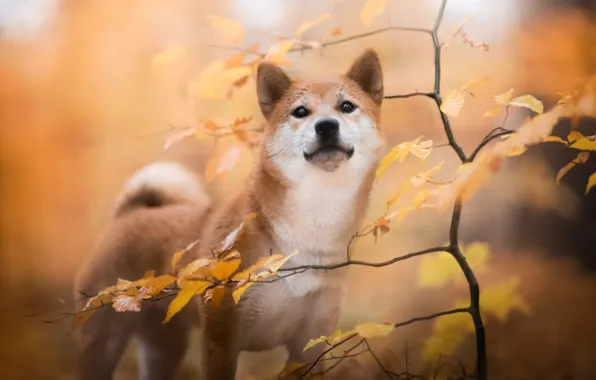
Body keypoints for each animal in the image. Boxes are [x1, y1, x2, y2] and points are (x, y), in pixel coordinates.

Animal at [72, 48, 384, 380]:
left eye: (346, 106)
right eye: (301, 112)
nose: (326, 125)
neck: (312, 223)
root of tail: (129, 213)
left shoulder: (310, 342)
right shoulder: (221, 335)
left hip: (165, 347)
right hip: (102, 340)